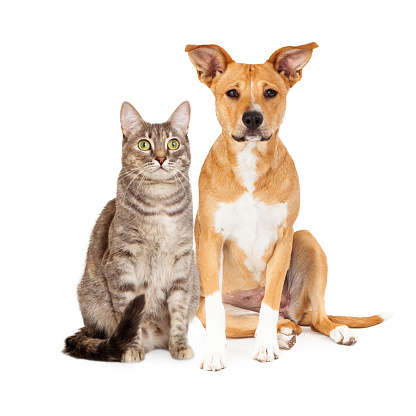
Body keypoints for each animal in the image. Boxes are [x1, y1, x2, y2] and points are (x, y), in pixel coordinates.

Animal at [64, 101, 200, 360]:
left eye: (173, 144)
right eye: (144, 144)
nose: (160, 158)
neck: (160, 202)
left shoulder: (183, 261)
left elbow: (179, 311)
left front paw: (179, 345)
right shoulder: (121, 260)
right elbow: (127, 309)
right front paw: (132, 348)